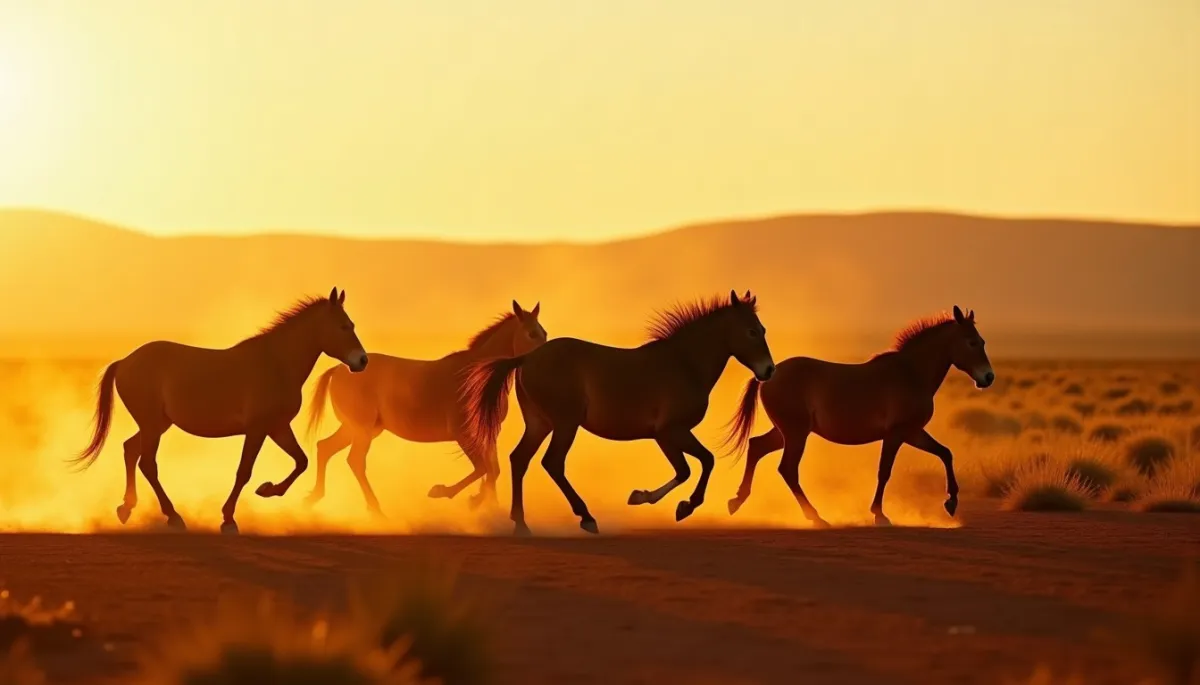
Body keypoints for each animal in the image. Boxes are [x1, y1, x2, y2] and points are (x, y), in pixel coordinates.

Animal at [68, 288, 368, 534]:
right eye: (343, 326)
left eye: (352, 325)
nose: (362, 361)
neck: (276, 363)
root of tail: (124, 361)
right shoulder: (257, 429)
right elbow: (244, 471)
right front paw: (229, 520)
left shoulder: (277, 427)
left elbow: (301, 461)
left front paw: (268, 490)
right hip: (152, 425)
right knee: (147, 464)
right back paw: (173, 517)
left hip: (158, 424)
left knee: (131, 450)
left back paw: (127, 508)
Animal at [302, 300, 547, 517]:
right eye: (531, 334)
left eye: (544, 333)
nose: (546, 359)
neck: (476, 379)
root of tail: (337, 370)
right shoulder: (463, 433)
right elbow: (483, 468)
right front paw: (446, 493)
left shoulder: (488, 433)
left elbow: (493, 470)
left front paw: (487, 506)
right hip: (362, 429)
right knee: (355, 461)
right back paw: (377, 511)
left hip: (359, 428)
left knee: (325, 448)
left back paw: (314, 498)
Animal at [461, 290, 775, 536]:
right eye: (751, 331)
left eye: (763, 329)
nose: (768, 370)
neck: (684, 364)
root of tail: (527, 358)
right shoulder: (670, 432)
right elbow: (696, 465)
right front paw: (675, 504)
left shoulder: (669, 435)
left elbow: (693, 466)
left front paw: (655, 500)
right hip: (565, 424)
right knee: (552, 463)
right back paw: (586, 517)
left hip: (540, 423)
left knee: (519, 459)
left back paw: (521, 524)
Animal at [723, 305, 994, 527]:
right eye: (972, 342)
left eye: (982, 341)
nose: (988, 377)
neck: (911, 374)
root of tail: (768, 375)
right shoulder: (896, 434)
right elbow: (884, 471)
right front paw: (879, 515)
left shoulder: (912, 432)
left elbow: (945, 453)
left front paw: (951, 502)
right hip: (795, 433)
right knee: (787, 469)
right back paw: (816, 517)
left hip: (786, 433)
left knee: (757, 447)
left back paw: (737, 500)